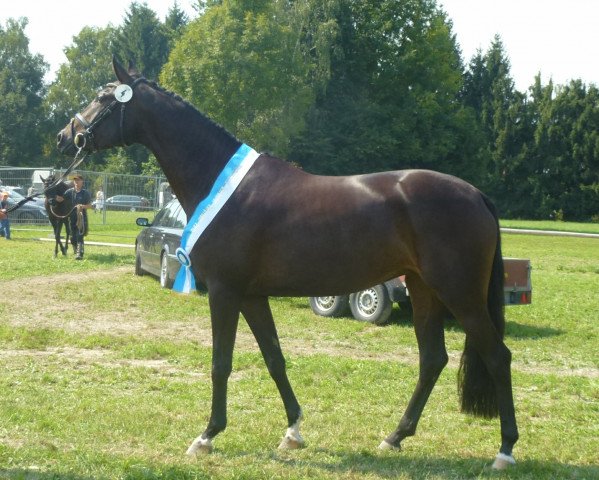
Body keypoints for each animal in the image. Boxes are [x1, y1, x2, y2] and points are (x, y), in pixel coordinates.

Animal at [58, 59, 524, 468]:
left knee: (497, 356)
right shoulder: (252, 296)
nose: (66, 136)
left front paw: (207, 435)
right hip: (425, 289)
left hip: (460, 294)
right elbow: (274, 358)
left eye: (102, 97)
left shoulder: (225, 292)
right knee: (432, 360)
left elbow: (221, 363)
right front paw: (293, 431)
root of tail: (475, 195)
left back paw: (504, 450)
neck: (222, 183)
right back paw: (394, 437)